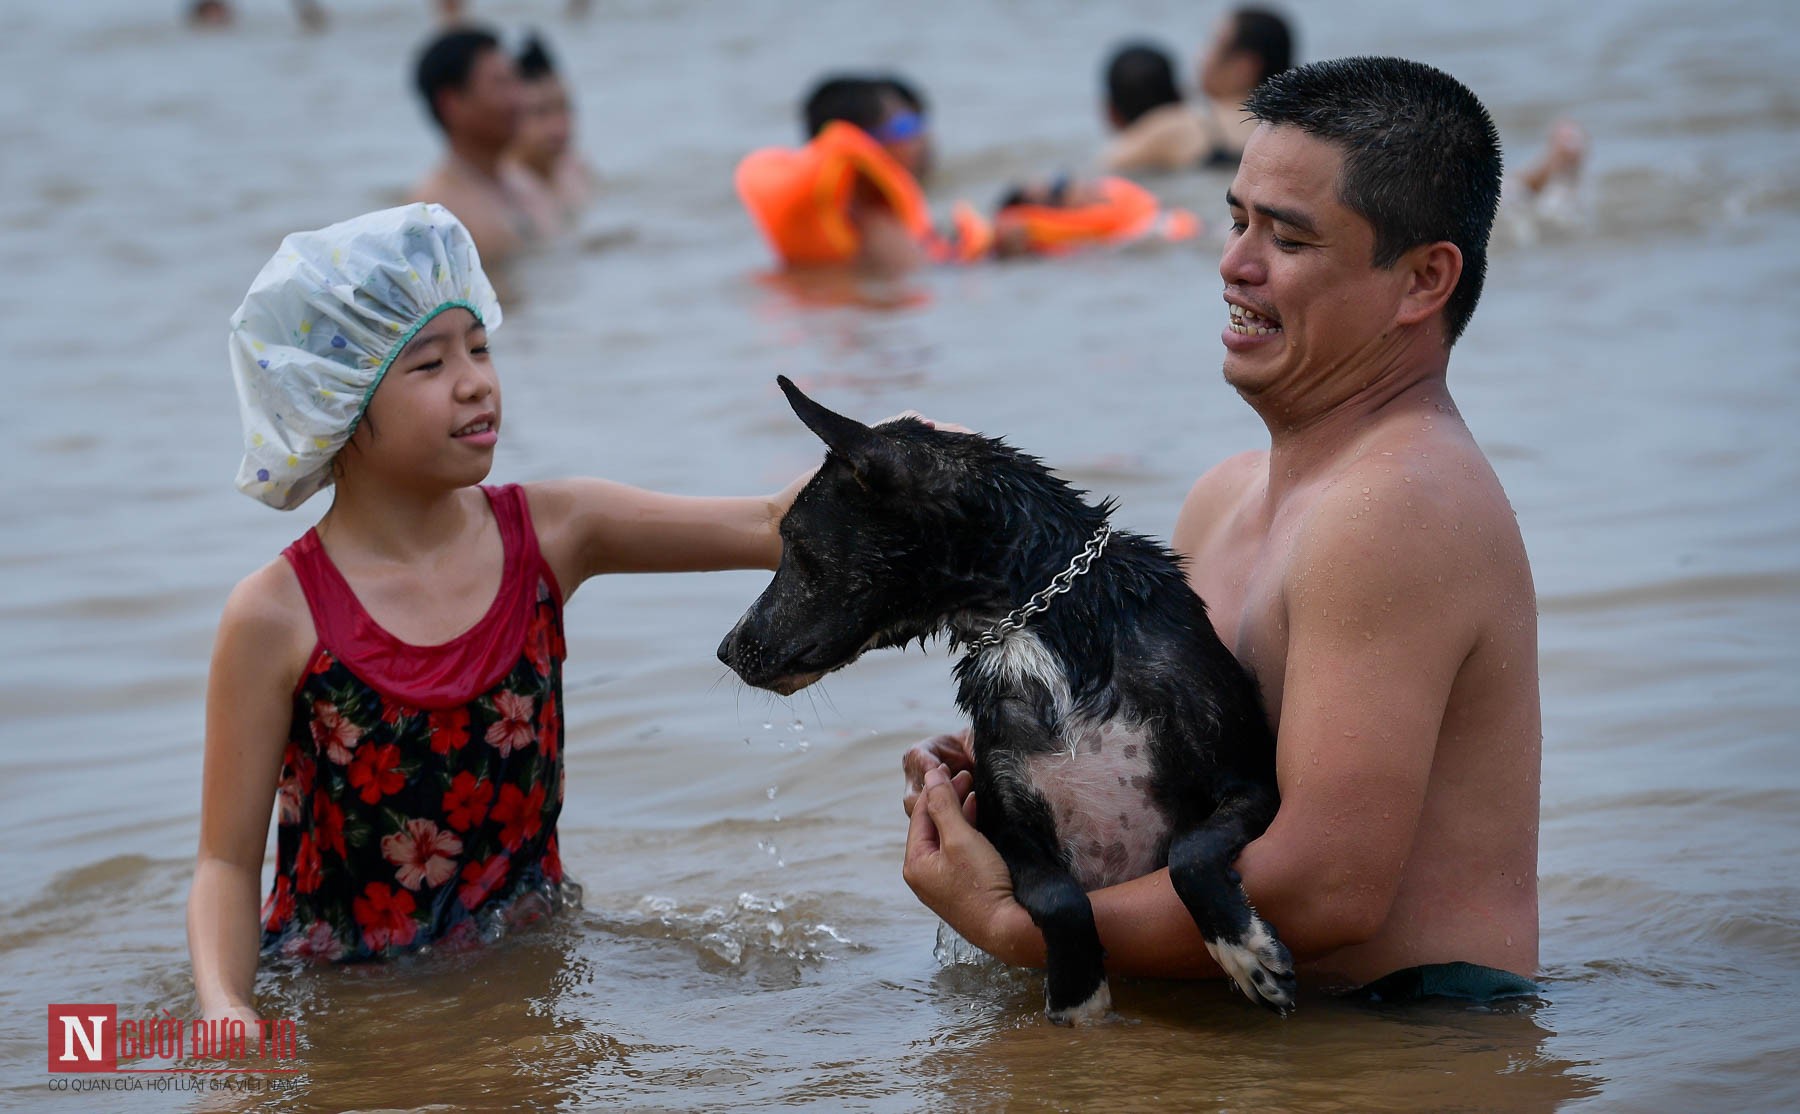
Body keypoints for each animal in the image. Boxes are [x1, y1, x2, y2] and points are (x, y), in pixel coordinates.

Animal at [716, 379, 1296, 1022]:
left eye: (794, 542)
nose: (726, 650)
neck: (1032, 626)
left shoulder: (1252, 785)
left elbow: (1190, 852)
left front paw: (1245, 951)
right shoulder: (1005, 828)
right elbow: (1058, 896)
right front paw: (1078, 992)